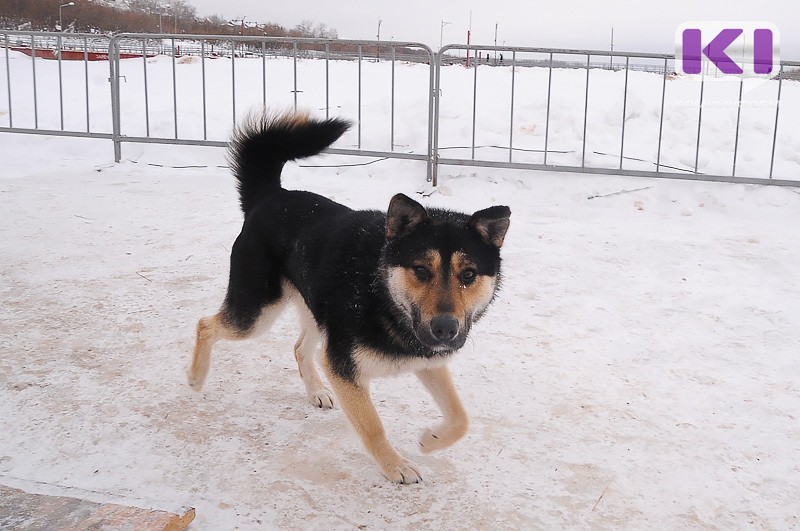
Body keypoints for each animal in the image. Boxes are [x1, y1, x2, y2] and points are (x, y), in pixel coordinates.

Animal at [191, 110, 510, 484]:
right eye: (420, 269)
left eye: (468, 275)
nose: (446, 329)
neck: (382, 295)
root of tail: (271, 196)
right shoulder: (342, 365)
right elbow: (372, 426)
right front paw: (395, 466)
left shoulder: (427, 359)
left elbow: (461, 417)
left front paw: (430, 439)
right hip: (256, 314)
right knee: (206, 324)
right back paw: (196, 378)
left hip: (315, 311)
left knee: (299, 348)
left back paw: (315, 391)